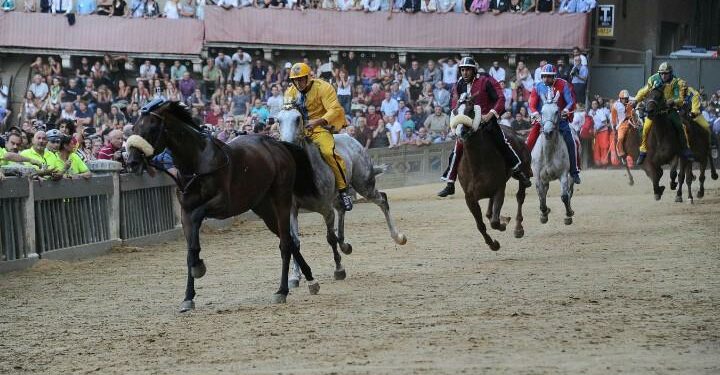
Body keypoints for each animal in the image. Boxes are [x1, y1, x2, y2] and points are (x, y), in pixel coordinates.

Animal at [126, 99, 318, 312]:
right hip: (263, 208)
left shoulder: (223, 204)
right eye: (134, 127)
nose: (132, 161)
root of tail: (278, 144)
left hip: (281, 199)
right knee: (290, 241)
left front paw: (198, 265)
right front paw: (188, 296)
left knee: (285, 243)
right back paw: (311, 280)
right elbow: (189, 249)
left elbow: (197, 219)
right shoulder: (185, 212)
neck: (197, 163)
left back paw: (282, 291)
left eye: (152, 128)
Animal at [276, 104, 408, 286]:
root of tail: (352, 140)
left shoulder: (326, 210)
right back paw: (345, 245)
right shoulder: (292, 210)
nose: (286, 145)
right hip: (341, 196)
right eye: (278, 120)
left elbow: (330, 238)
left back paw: (398, 237)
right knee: (343, 209)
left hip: (364, 185)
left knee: (382, 199)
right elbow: (295, 241)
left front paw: (339, 269)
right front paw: (295, 276)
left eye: (297, 119)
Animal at [452, 98, 532, 251]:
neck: (477, 164)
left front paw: (502, 225)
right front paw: (493, 244)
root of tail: (518, 134)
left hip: (524, 170)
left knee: (520, 196)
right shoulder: (470, 198)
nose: (461, 132)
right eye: (455, 111)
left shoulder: (499, 188)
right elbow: (481, 225)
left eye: (470, 110)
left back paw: (518, 228)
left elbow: (494, 222)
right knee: (490, 211)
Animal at [532, 90, 576, 226]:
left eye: (557, 111)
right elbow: (541, 195)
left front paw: (568, 215)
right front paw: (544, 213)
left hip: (571, 176)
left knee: (570, 191)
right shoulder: (538, 176)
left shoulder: (564, 174)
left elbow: (564, 196)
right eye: (541, 112)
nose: (548, 132)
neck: (548, 153)